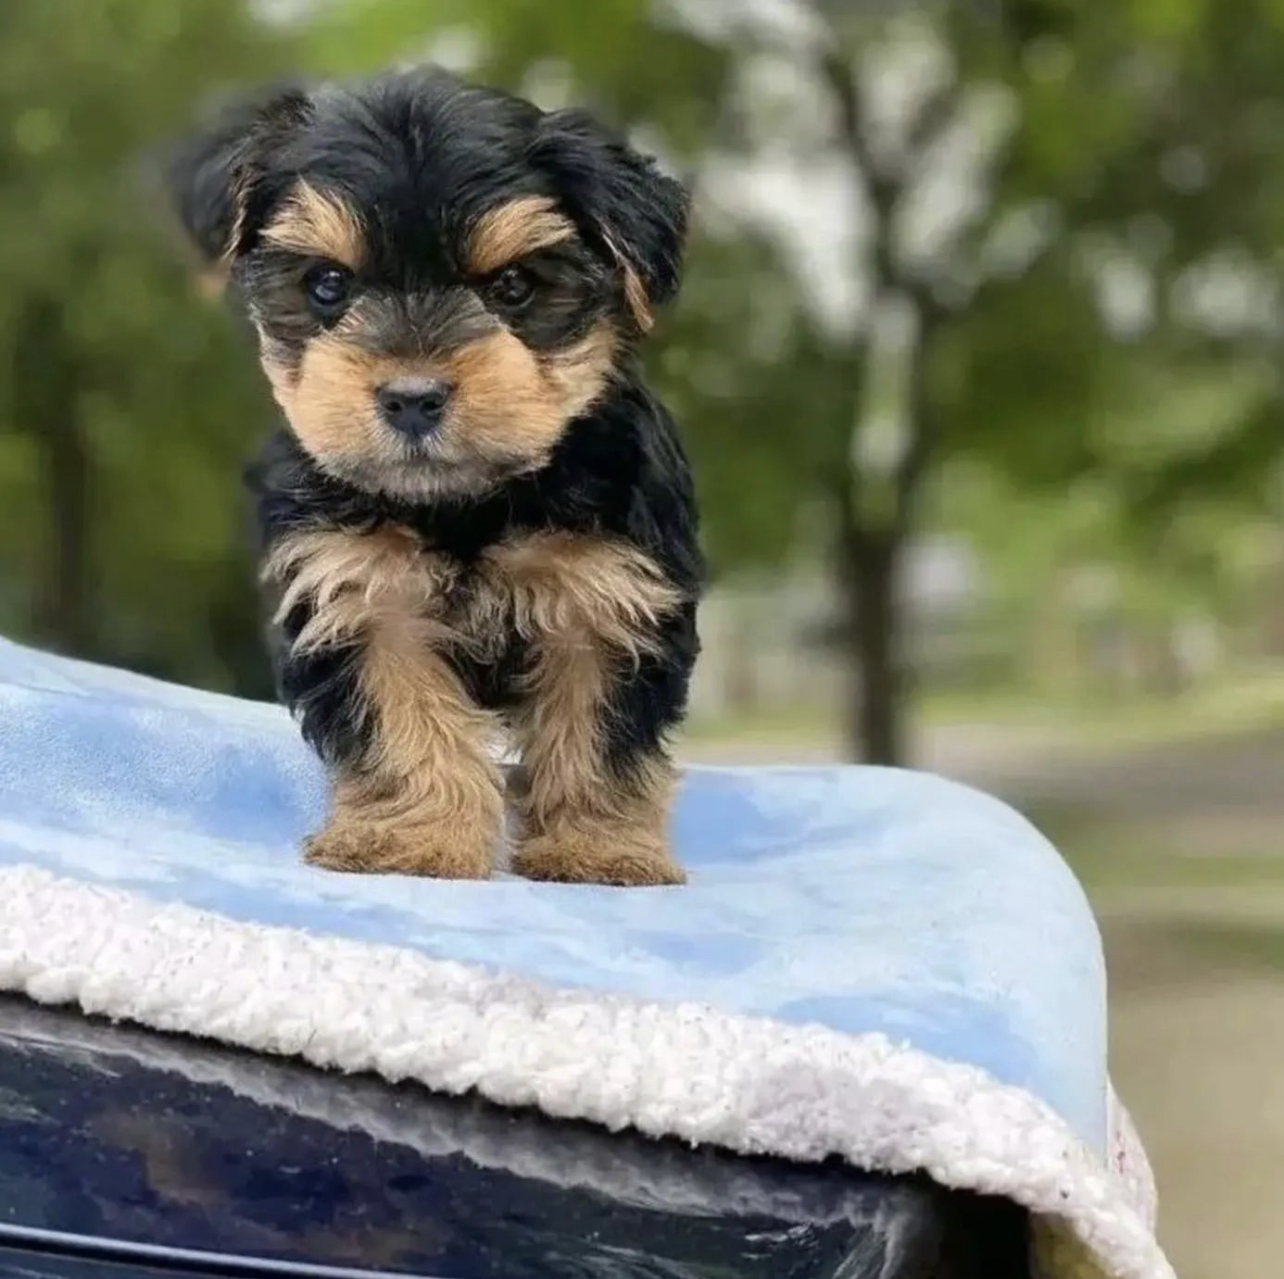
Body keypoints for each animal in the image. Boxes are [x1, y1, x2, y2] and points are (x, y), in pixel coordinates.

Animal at [166, 69, 708, 883]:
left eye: (513, 285)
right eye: (328, 285)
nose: (412, 396)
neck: (465, 502)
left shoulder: (607, 593)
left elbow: (595, 725)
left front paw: (595, 847)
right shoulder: (357, 592)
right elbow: (402, 715)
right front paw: (409, 838)